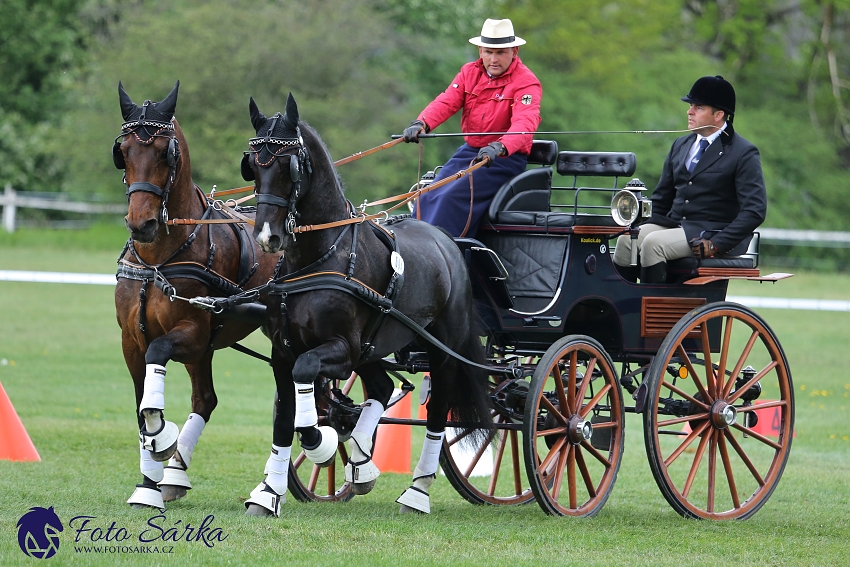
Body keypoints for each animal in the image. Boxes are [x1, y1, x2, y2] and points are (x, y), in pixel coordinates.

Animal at [112, 82, 278, 512]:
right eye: (124, 151)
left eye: (164, 152)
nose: (141, 223)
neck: (158, 260)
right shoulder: (132, 341)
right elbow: (141, 405)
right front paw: (148, 484)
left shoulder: (193, 331)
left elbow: (155, 375)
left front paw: (162, 437)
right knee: (205, 399)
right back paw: (174, 475)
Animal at [238, 95, 490, 516]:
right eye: (253, 166)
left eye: (289, 166)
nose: (267, 237)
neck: (318, 258)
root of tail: (447, 242)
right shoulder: (283, 352)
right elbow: (285, 418)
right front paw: (268, 492)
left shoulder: (340, 349)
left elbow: (306, 400)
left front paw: (319, 442)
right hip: (373, 347)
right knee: (383, 385)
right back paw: (360, 460)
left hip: (441, 352)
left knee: (437, 412)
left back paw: (417, 491)